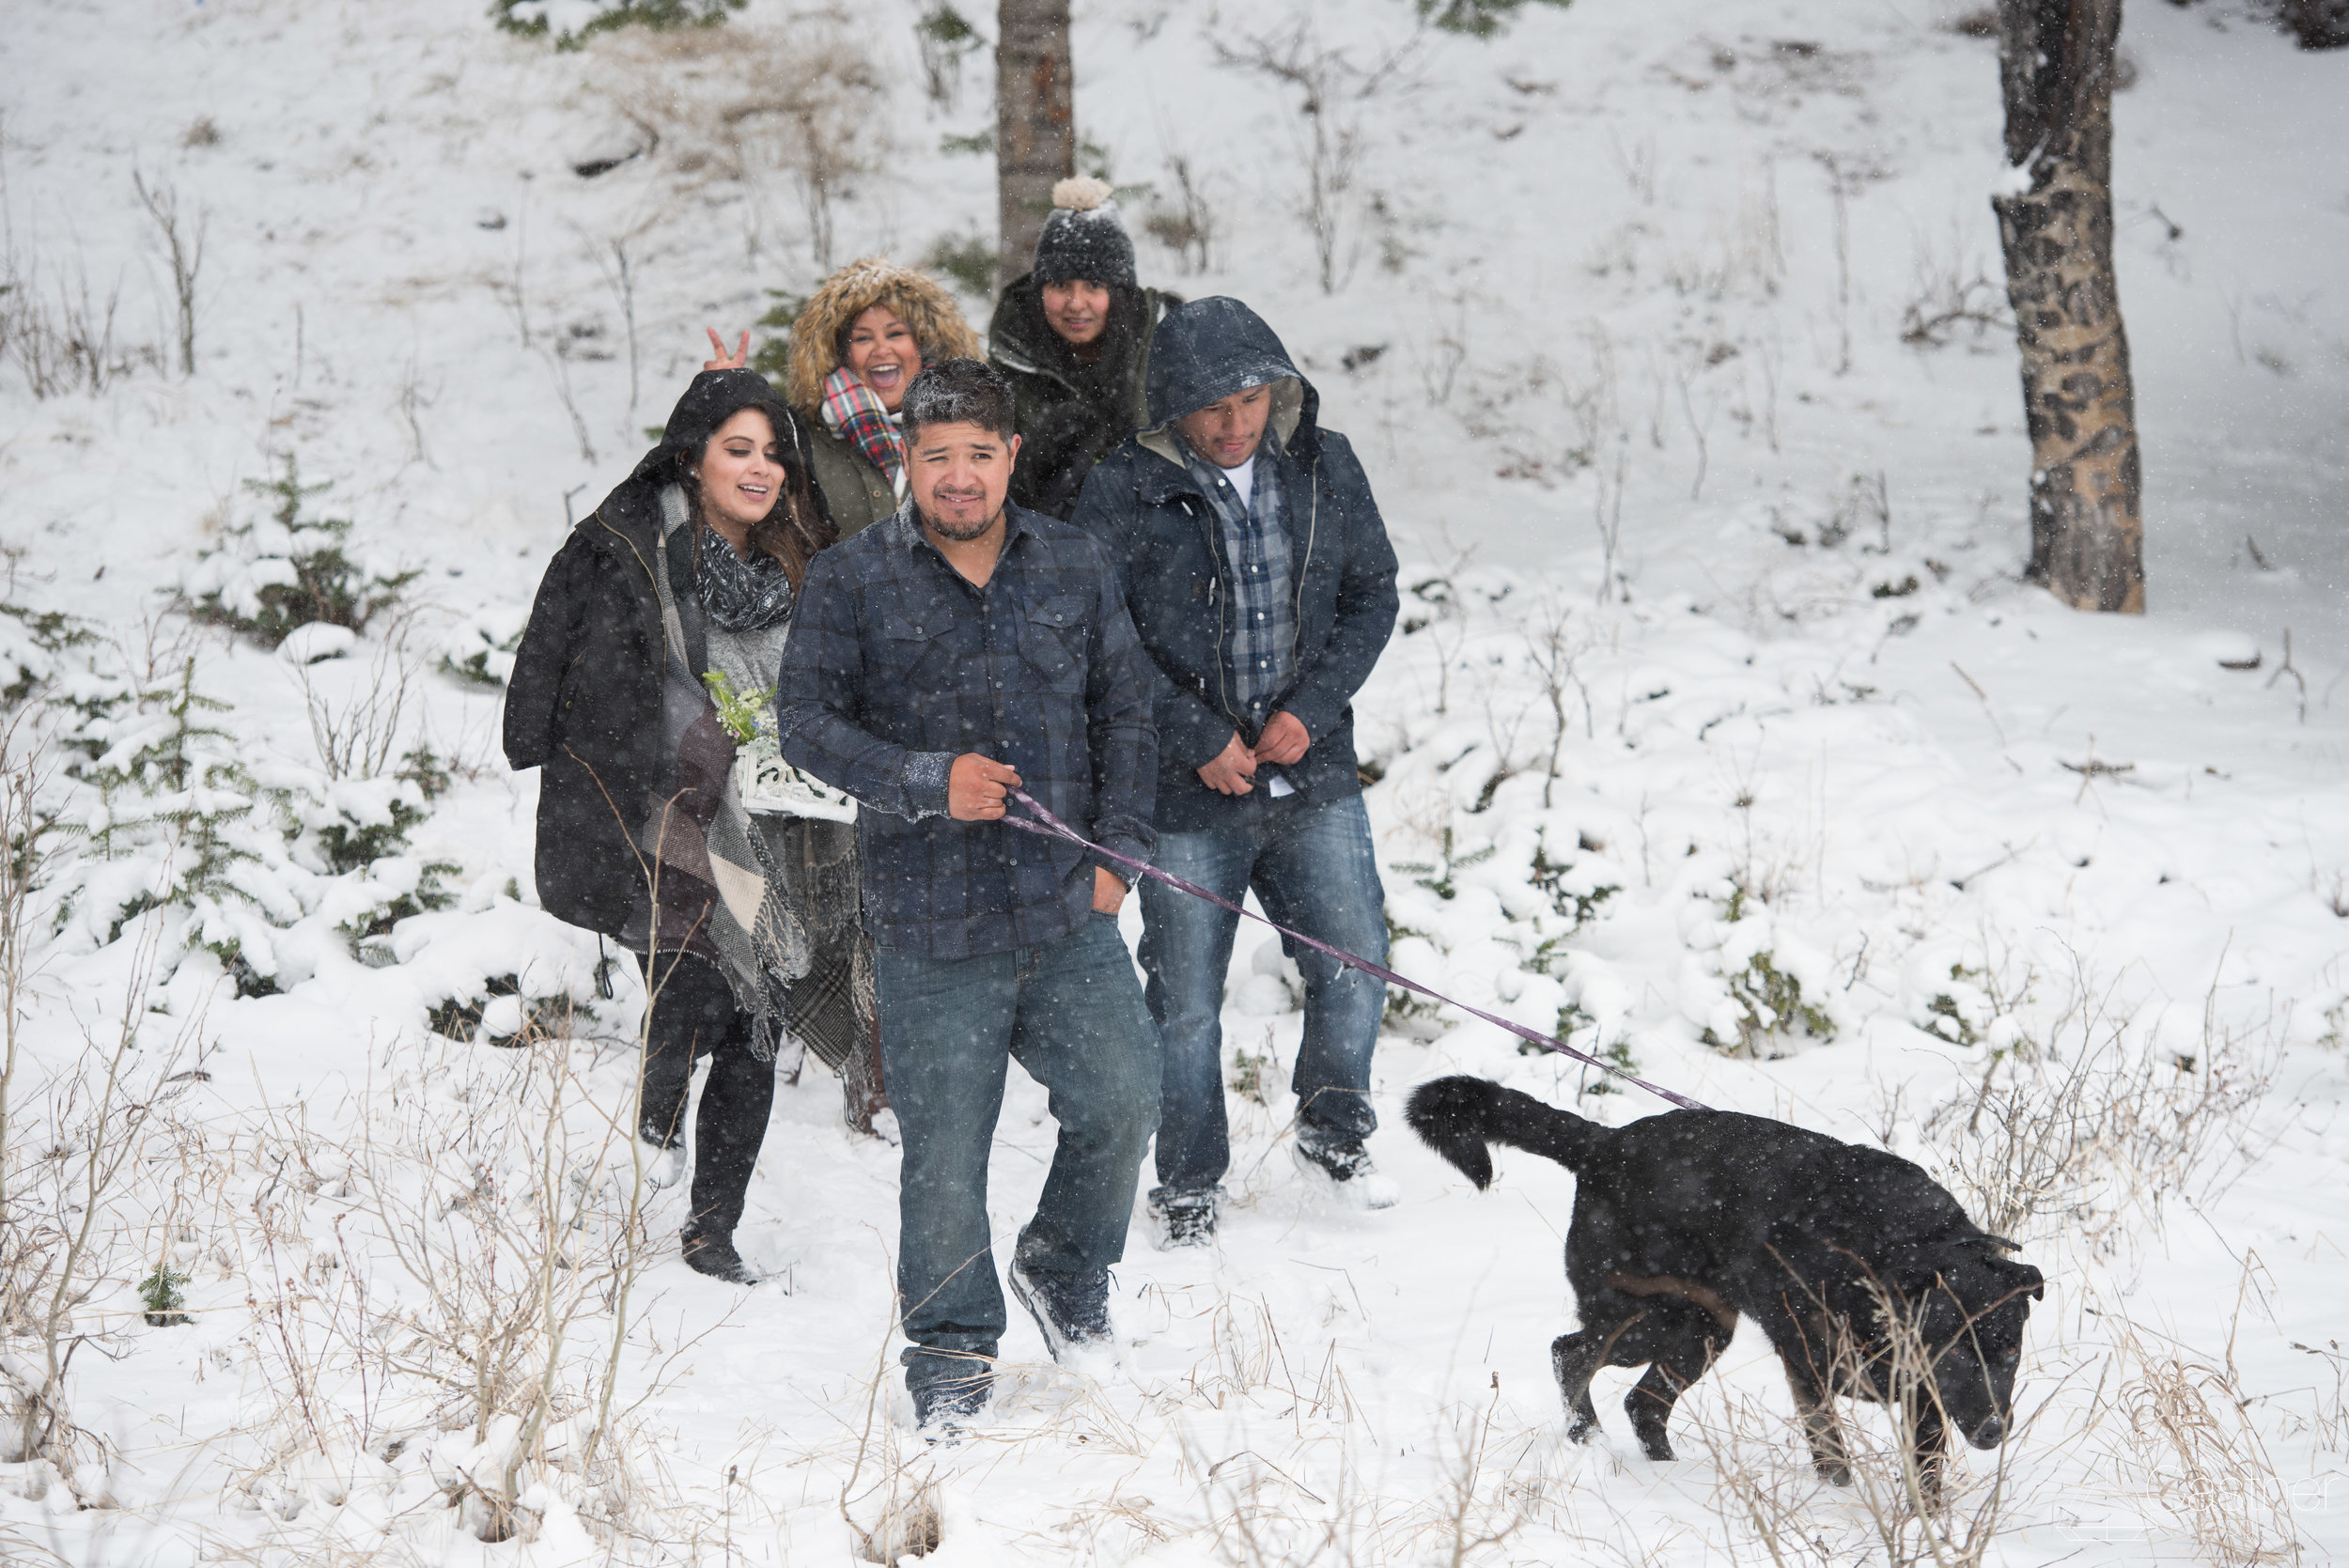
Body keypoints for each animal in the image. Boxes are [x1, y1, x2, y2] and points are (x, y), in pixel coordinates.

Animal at [1400, 1070, 2048, 1493]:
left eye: (2008, 1351)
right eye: (1954, 1351)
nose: (1994, 1430)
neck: (1892, 1255)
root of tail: (1603, 1143)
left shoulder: (1923, 1399)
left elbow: (1928, 1471)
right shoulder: (1812, 1368)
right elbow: (1832, 1451)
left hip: (1702, 1329)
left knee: (1643, 1402)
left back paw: (1667, 1471)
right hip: (1646, 1316)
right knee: (1572, 1352)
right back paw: (1588, 1438)